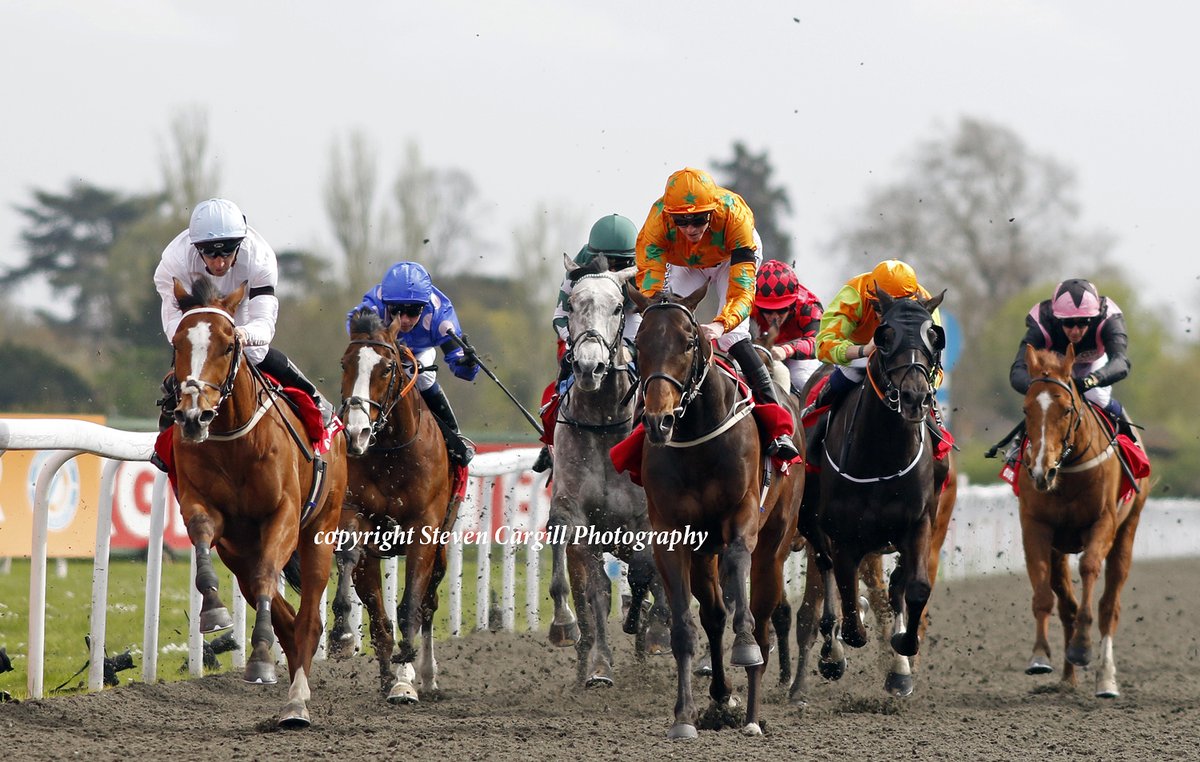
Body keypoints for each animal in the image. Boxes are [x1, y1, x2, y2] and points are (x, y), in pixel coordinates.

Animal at [331, 307, 456, 705]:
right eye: (345, 363)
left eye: (386, 368)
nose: (356, 433)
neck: (391, 452)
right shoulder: (354, 512)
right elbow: (348, 557)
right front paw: (341, 633)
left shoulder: (423, 529)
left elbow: (411, 606)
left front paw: (406, 674)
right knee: (377, 615)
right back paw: (388, 673)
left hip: (441, 548)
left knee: (428, 603)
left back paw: (422, 676)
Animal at [547, 253, 672, 686]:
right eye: (571, 305)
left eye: (618, 307)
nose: (590, 367)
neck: (602, 425)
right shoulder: (577, 514)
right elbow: (595, 589)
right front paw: (597, 662)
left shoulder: (647, 520)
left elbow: (645, 571)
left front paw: (654, 628)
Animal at [624, 285, 801, 739]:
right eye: (638, 343)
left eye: (689, 342)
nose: (658, 421)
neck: (696, 437)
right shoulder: (671, 534)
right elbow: (684, 627)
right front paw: (683, 717)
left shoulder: (742, 516)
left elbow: (738, 562)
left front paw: (745, 648)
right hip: (703, 552)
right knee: (715, 615)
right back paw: (722, 697)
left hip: (775, 546)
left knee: (761, 618)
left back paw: (752, 715)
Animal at [1017, 345, 1147, 696]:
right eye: (1026, 409)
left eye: (1065, 410)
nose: (1041, 471)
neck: (1070, 468)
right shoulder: (1036, 527)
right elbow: (1043, 592)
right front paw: (1039, 656)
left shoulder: (1103, 523)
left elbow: (1090, 569)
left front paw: (1082, 647)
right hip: (1060, 547)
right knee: (1066, 603)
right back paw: (1067, 678)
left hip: (1127, 531)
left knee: (1110, 606)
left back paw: (1105, 679)